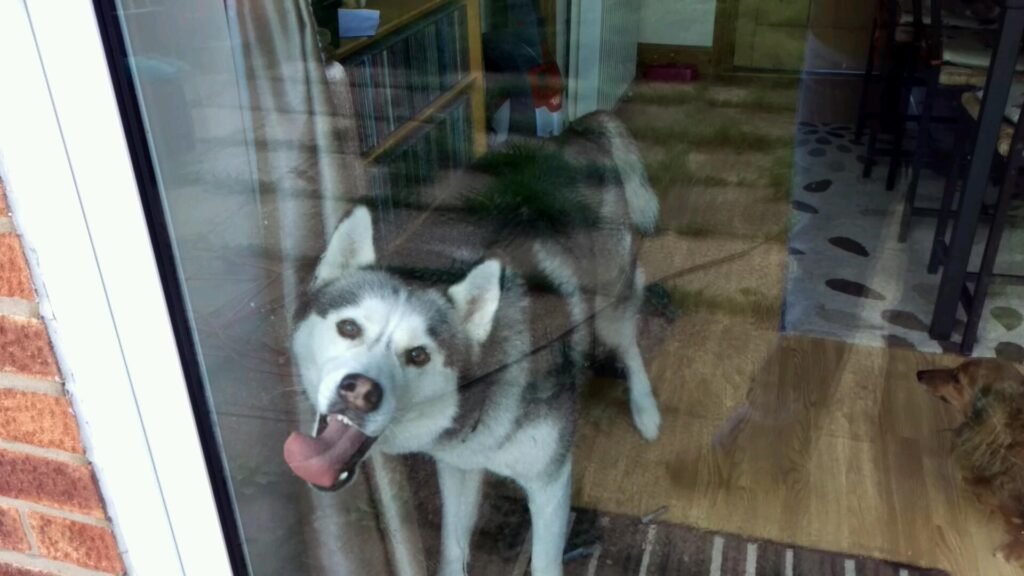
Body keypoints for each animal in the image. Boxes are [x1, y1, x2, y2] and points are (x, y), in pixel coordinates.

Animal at [284, 112, 659, 573]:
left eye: (419, 355)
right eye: (349, 328)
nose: (359, 392)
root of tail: (570, 131)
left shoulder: (550, 482)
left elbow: (544, 562)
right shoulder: (457, 468)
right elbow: (452, 547)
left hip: (610, 301)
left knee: (628, 340)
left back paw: (646, 409)